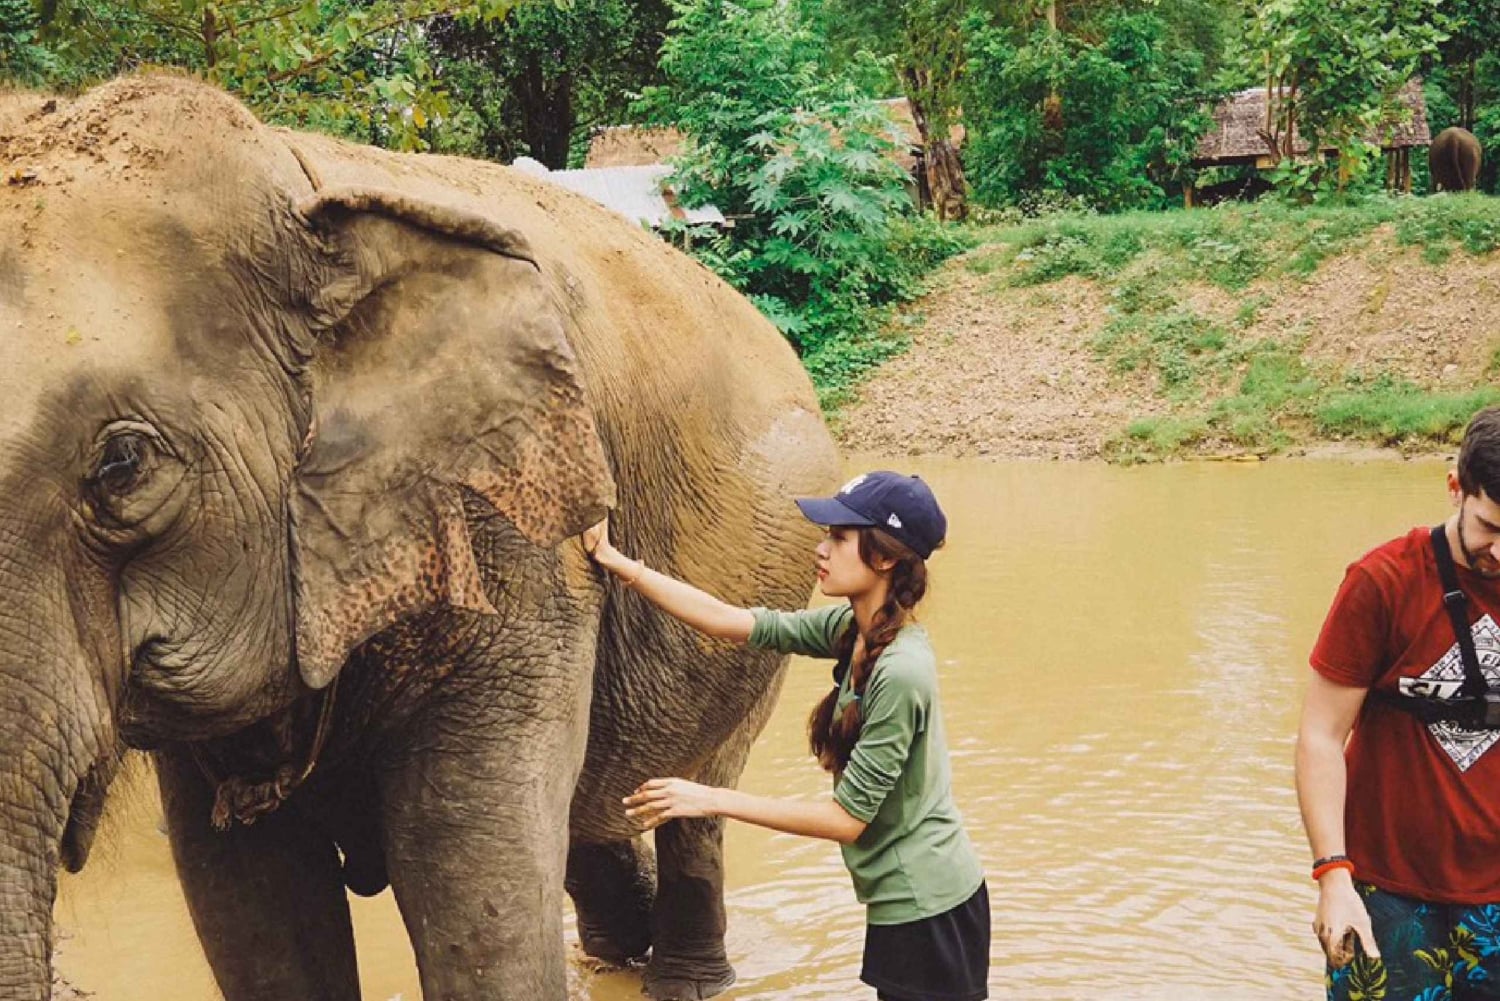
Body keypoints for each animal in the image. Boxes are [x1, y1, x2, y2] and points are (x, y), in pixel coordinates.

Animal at [0, 75, 838, 1001]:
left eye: (121, 465)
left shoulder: (512, 538)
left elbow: (467, 876)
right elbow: (252, 900)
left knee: (696, 797)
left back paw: (686, 979)